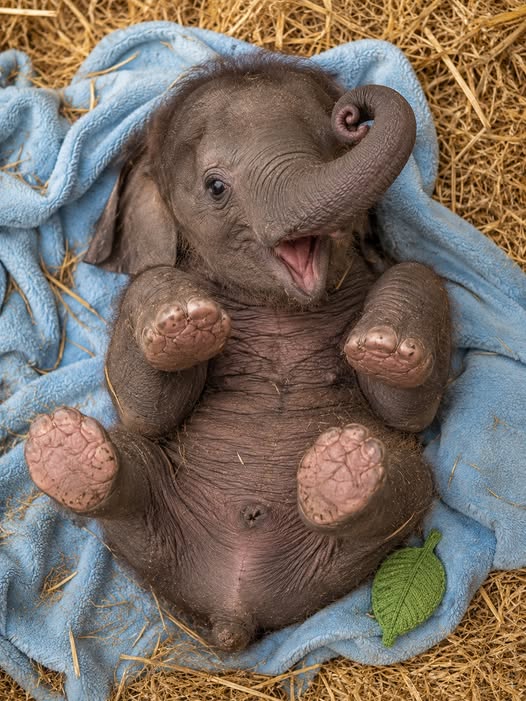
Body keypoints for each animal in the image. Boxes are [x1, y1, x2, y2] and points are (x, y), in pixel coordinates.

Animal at [24, 52, 451, 652]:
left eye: (332, 148)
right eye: (216, 187)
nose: (354, 114)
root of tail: (233, 612)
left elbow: (409, 409)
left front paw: (384, 345)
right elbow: (147, 411)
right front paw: (184, 323)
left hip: (351, 553)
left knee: (407, 487)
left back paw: (341, 474)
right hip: (160, 542)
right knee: (136, 465)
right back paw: (68, 454)